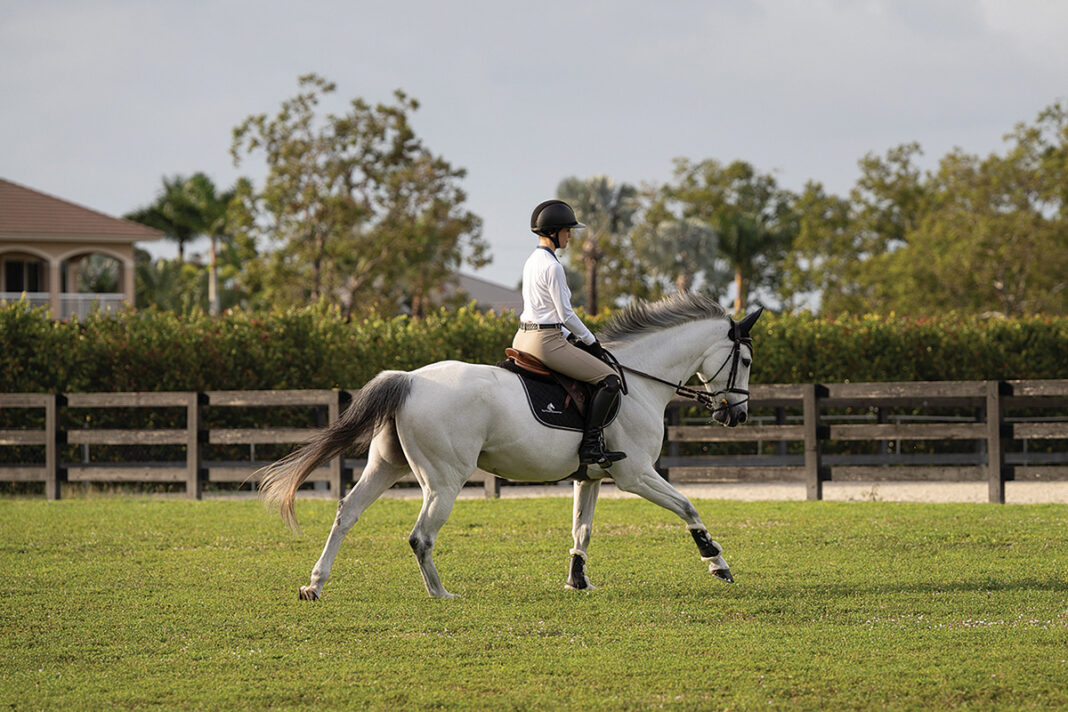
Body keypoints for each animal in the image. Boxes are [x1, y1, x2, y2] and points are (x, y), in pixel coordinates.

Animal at [258, 292, 762, 599]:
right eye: (747, 360)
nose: (735, 415)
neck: (638, 380)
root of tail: (409, 380)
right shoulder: (635, 474)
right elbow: (689, 507)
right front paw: (717, 563)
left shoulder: (591, 476)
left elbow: (582, 530)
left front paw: (577, 581)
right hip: (444, 480)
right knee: (421, 535)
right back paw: (441, 593)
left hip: (387, 465)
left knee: (347, 513)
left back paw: (315, 584)